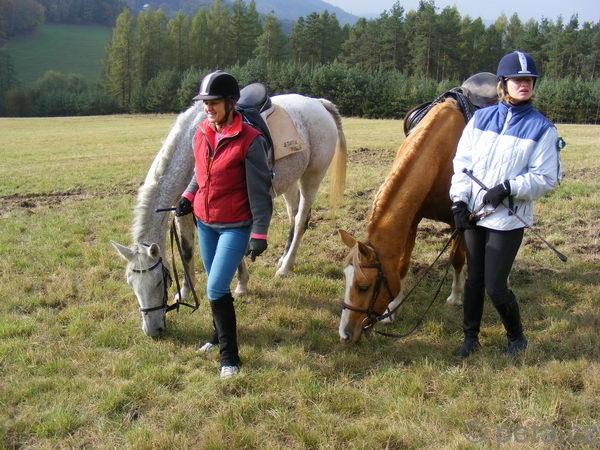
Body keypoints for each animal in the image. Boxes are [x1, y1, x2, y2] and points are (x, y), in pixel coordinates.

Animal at [112, 94, 347, 337]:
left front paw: (241, 285)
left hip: (312, 177)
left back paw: (285, 268)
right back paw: (283, 258)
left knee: (301, 220)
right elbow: (186, 251)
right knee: (293, 215)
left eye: (159, 281)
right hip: (289, 180)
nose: (152, 330)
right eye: (130, 283)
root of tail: (318, 103)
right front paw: (185, 292)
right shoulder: (182, 210)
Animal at [338, 98, 467, 343]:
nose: (344, 334)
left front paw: (455, 296)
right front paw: (392, 310)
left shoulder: (460, 220)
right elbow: (402, 264)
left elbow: (456, 258)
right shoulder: (413, 217)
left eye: (363, 287)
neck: (440, 155)